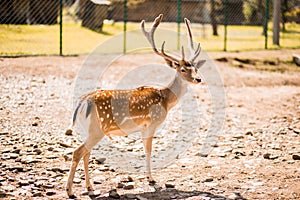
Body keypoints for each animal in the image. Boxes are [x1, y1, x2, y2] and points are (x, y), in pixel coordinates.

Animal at [66, 14, 205, 198]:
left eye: (195, 67)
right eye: (182, 69)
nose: (198, 79)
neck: (165, 100)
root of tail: (82, 103)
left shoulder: (143, 127)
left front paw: (148, 177)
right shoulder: (151, 123)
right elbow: (148, 150)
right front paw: (151, 179)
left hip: (87, 130)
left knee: (86, 153)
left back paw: (90, 187)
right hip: (96, 129)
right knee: (77, 152)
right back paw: (70, 191)